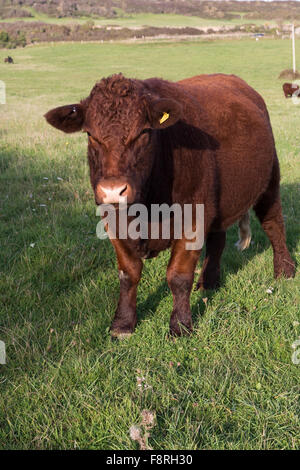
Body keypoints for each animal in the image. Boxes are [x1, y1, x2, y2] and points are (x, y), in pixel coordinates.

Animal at [45, 72, 296, 338]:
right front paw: (122, 324)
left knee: (274, 225)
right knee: (218, 240)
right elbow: (128, 273)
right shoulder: (113, 221)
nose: (113, 190)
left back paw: (285, 271)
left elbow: (178, 275)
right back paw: (208, 282)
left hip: (270, 181)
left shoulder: (193, 218)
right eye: (91, 135)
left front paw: (181, 325)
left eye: (143, 132)